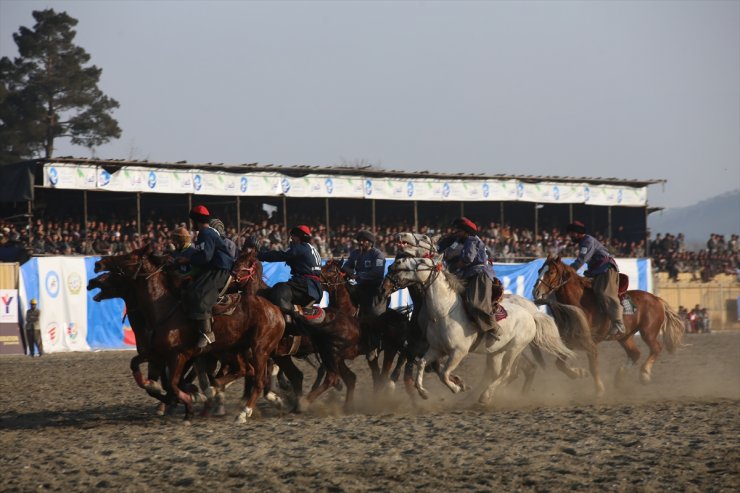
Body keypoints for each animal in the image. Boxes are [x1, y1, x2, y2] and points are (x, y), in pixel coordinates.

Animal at [92, 244, 286, 420]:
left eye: (127, 257)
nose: (98, 265)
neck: (163, 308)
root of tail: (275, 310)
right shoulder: (157, 354)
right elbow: (139, 368)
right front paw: (162, 392)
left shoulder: (180, 356)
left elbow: (173, 384)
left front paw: (191, 401)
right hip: (233, 350)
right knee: (245, 370)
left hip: (259, 350)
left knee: (259, 379)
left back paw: (244, 411)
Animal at [382, 258, 572, 404]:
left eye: (419, 261)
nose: (395, 264)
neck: (444, 312)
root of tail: (532, 315)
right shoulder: (436, 349)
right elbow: (422, 364)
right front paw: (423, 392)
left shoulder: (458, 352)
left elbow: (444, 373)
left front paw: (456, 388)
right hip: (496, 352)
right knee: (498, 373)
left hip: (515, 349)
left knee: (506, 372)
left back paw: (485, 396)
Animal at [532, 254, 684, 392]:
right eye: (539, 270)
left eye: (551, 272)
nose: (536, 292)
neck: (578, 305)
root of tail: (657, 299)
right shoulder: (570, 341)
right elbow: (559, 364)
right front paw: (579, 373)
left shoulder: (590, 344)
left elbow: (593, 367)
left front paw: (599, 390)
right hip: (625, 336)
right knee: (635, 353)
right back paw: (619, 378)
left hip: (648, 332)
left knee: (656, 348)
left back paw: (644, 374)